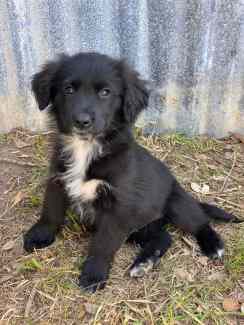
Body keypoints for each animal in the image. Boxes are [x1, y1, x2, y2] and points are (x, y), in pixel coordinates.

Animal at [23, 52, 238, 292]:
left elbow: (103, 243)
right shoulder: (58, 180)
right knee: (164, 238)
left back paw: (213, 245)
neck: (86, 148)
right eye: (68, 89)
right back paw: (144, 262)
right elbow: (50, 212)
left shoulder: (117, 207)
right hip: (141, 227)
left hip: (176, 204)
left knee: (200, 222)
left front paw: (94, 274)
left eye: (105, 92)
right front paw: (40, 236)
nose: (82, 121)